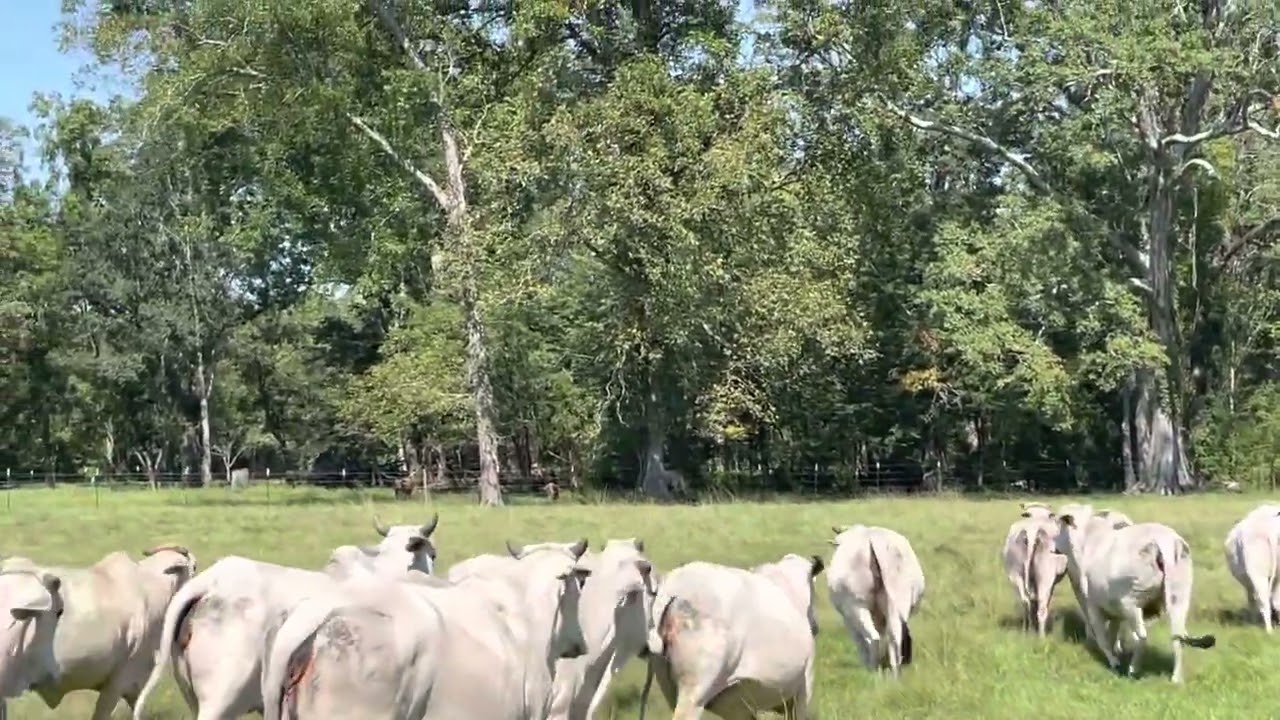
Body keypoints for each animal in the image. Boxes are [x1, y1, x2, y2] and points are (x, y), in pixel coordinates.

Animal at [826, 525, 925, 676]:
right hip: (899, 602)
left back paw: (872, 670)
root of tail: (872, 537)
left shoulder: (848, 620)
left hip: (857, 605)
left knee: (873, 638)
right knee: (894, 637)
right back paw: (895, 672)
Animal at [1002, 507, 1068, 636]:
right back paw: (1041, 636)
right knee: (1041, 607)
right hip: (1045, 577)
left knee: (1025, 602)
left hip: (1015, 575)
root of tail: (1031, 530)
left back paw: (1027, 630)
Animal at [1054, 505, 1216, 682]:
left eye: (1059, 523)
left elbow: (1103, 638)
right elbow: (1112, 634)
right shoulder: (1113, 609)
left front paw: (1114, 662)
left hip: (1131, 602)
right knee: (1177, 636)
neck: (1088, 540)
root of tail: (1164, 541)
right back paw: (1176, 678)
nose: (1053, 548)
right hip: (1179, 597)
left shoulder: (1093, 605)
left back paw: (1133, 669)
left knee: (1142, 637)